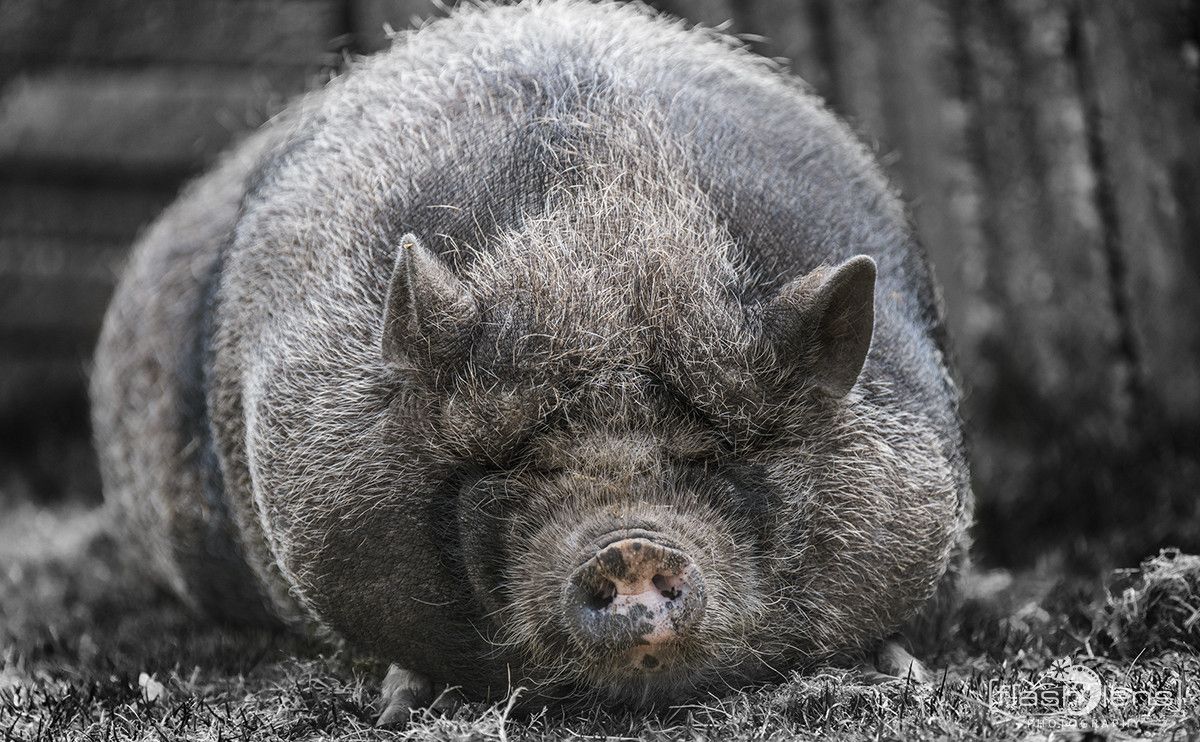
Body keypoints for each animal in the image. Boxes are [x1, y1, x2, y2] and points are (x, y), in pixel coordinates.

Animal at [90, 0, 972, 724]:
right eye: (524, 463)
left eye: (714, 456)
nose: (632, 545)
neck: (609, 220)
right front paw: (400, 702)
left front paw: (900, 665)